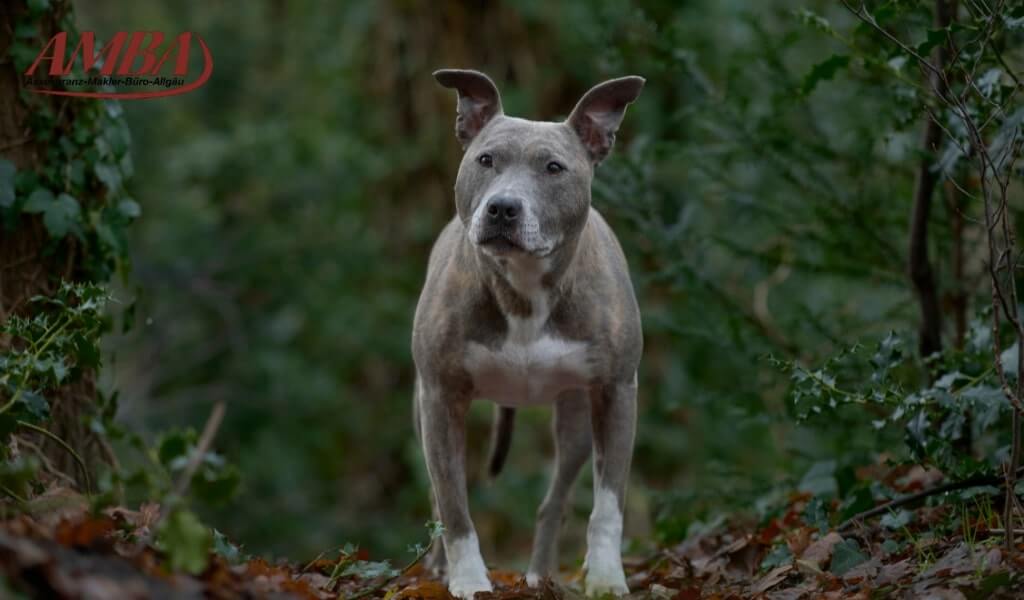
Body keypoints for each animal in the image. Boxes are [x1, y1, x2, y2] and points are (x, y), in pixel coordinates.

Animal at [411, 69, 643, 593]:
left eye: (554, 168)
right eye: (486, 160)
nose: (502, 208)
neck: (525, 287)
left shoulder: (617, 392)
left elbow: (609, 504)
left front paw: (606, 579)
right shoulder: (440, 396)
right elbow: (453, 505)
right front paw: (469, 580)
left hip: (575, 421)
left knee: (554, 501)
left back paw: (540, 575)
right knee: (437, 496)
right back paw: (439, 568)